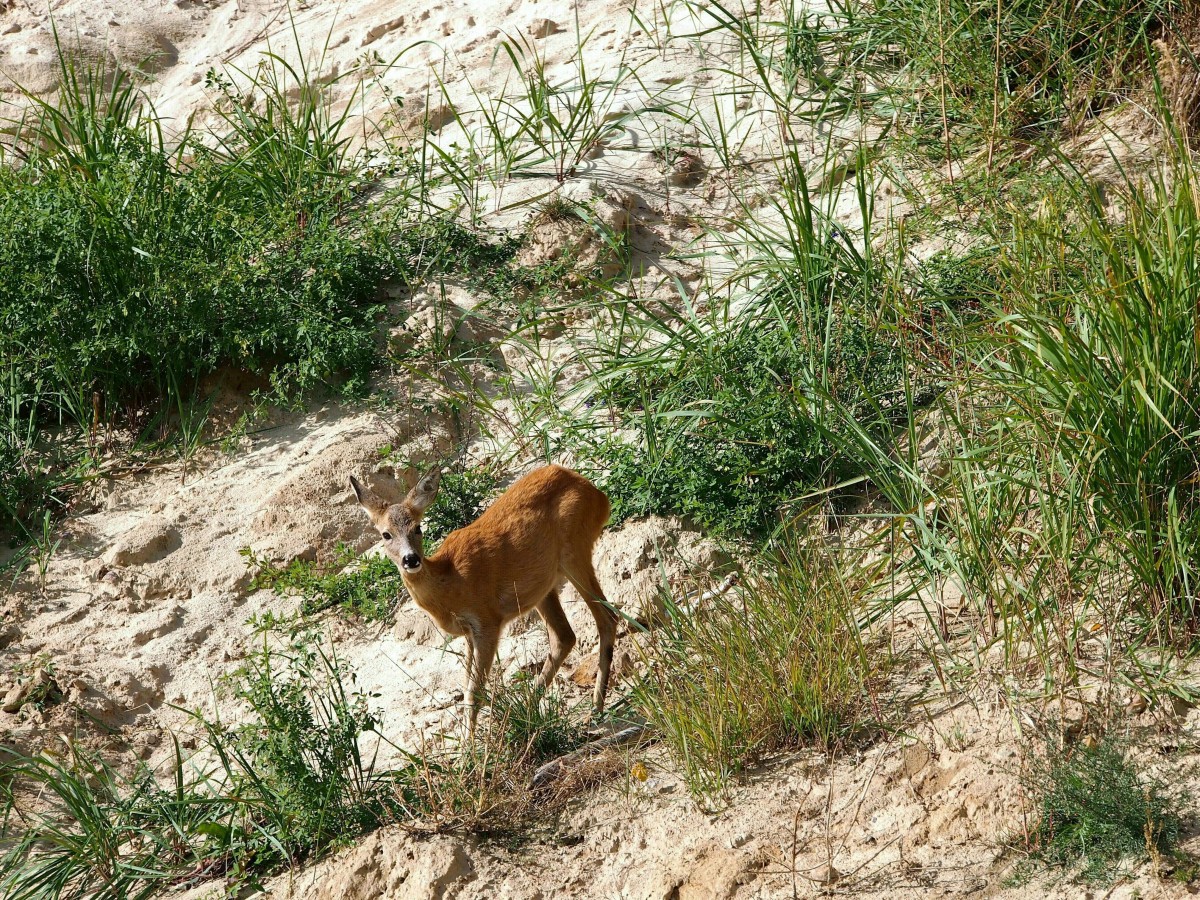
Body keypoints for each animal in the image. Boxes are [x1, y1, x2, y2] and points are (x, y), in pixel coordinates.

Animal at [345, 460, 609, 734]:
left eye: (418, 527)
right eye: (386, 534)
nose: (411, 559)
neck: (450, 582)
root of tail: (599, 496)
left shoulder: (487, 621)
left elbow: (475, 692)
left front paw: (470, 745)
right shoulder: (469, 632)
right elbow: (466, 689)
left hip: (575, 549)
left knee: (606, 618)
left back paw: (594, 710)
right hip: (543, 587)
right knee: (565, 636)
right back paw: (532, 714)